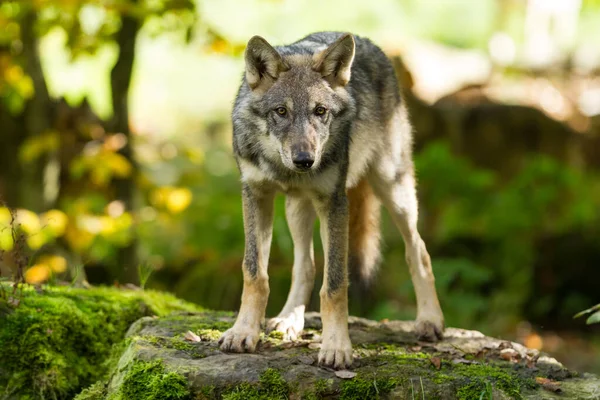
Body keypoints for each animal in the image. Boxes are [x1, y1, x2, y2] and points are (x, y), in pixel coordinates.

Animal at [218, 30, 442, 368]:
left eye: (320, 111)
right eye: (281, 111)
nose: (304, 160)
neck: (283, 168)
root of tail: (367, 41)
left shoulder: (334, 203)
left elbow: (335, 286)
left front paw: (336, 346)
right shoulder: (256, 195)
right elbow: (255, 273)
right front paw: (244, 331)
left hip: (393, 188)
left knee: (419, 250)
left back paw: (430, 320)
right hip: (297, 209)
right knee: (306, 264)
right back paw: (290, 320)